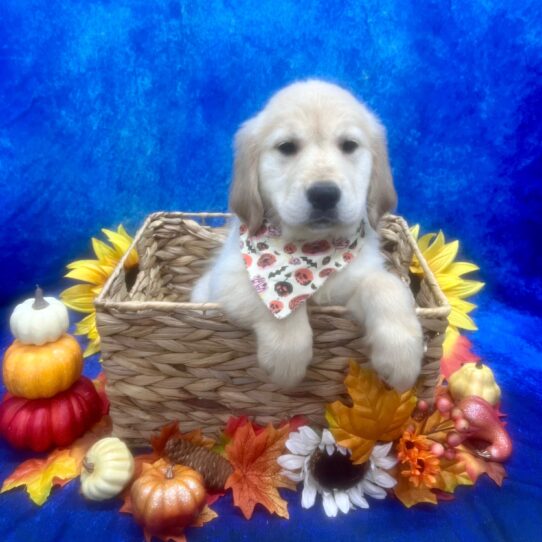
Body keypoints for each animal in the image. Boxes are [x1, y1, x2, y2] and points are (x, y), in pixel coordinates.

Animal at [191, 79, 424, 392]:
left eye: (349, 145)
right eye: (286, 147)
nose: (324, 195)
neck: (310, 249)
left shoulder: (353, 284)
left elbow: (386, 286)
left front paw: (402, 356)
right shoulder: (227, 280)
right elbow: (273, 302)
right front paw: (286, 356)